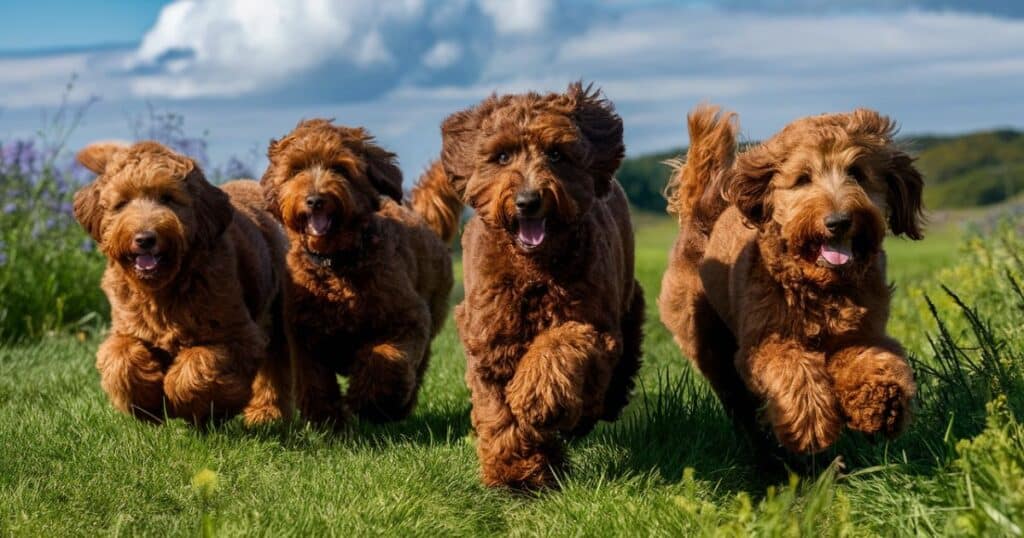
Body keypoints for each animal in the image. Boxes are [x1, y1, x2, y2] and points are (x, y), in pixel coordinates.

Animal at [72, 140, 290, 426]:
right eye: (122, 203)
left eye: (168, 197)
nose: (145, 238)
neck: (162, 291)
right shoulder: (126, 329)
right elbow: (121, 359)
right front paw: (147, 403)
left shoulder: (237, 335)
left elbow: (197, 365)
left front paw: (196, 408)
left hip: (275, 315)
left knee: (273, 369)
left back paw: (265, 412)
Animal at [260, 119, 460, 426]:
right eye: (296, 170)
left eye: (340, 168)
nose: (315, 200)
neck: (336, 265)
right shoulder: (305, 335)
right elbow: (314, 381)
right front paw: (327, 420)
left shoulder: (407, 319)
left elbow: (385, 361)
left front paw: (369, 402)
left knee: (417, 368)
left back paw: (396, 408)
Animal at [438, 81, 643, 487]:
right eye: (502, 156)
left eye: (556, 153)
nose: (527, 200)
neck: (533, 270)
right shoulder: (488, 337)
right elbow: (498, 413)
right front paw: (517, 474)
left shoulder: (594, 325)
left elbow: (561, 345)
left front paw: (536, 397)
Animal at [659, 104, 925, 452]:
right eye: (802, 179)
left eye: (857, 173)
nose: (838, 221)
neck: (822, 286)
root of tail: (700, 213)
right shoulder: (766, 341)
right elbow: (791, 368)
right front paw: (809, 423)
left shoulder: (863, 332)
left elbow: (872, 357)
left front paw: (882, 402)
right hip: (706, 341)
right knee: (735, 398)